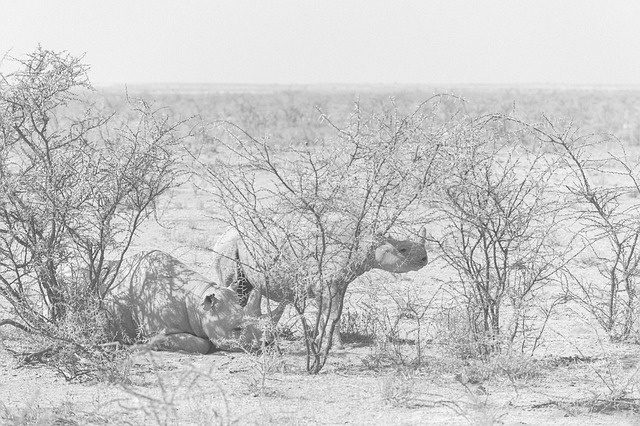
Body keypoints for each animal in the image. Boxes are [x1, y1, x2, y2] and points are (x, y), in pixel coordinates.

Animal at [211, 227, 428, 348]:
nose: (425, 259)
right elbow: (331, 313)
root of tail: (220, 236)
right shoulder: (327, 282)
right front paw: (337, 347)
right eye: (403, 250)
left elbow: (330, 314)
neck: (366, 245)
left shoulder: (336, 283)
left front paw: (317, 340)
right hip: (228, 247)